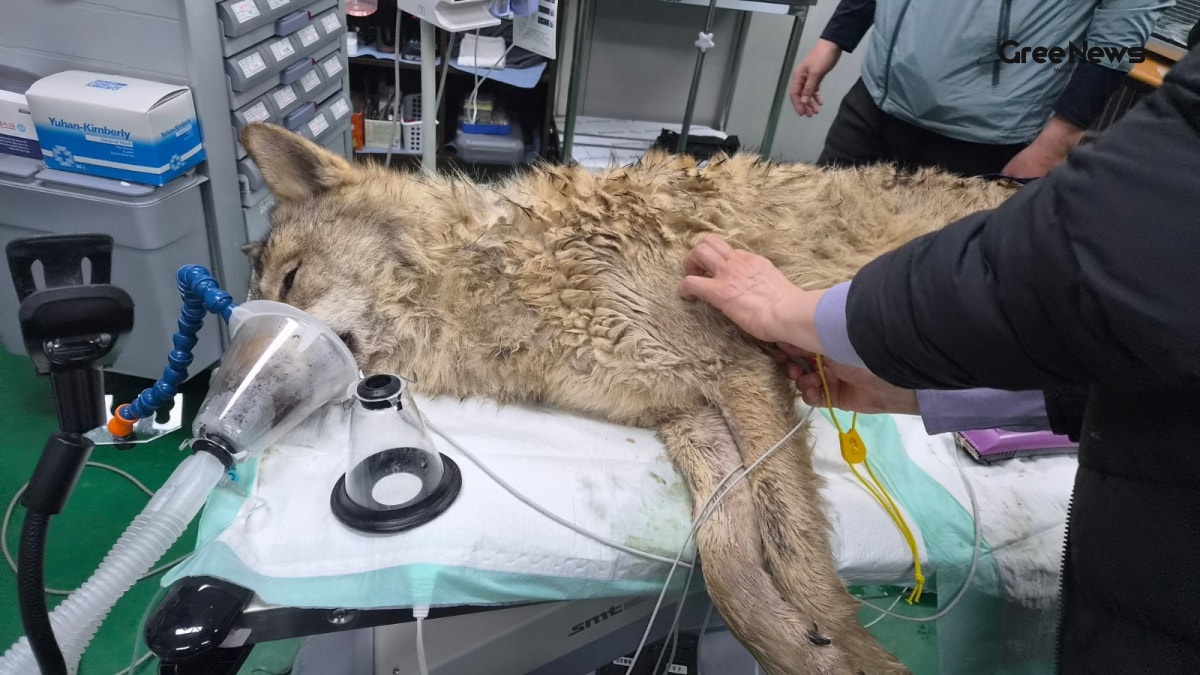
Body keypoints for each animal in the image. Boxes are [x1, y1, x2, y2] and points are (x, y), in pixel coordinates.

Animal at [238, 122, 1017, 674]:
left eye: (291, 281)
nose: (230, 416)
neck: (502, 276)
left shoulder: (739, 369)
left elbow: (794, 551)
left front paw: (854, 651)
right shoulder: (687, 415)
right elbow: (729, 565)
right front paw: (804, 649)